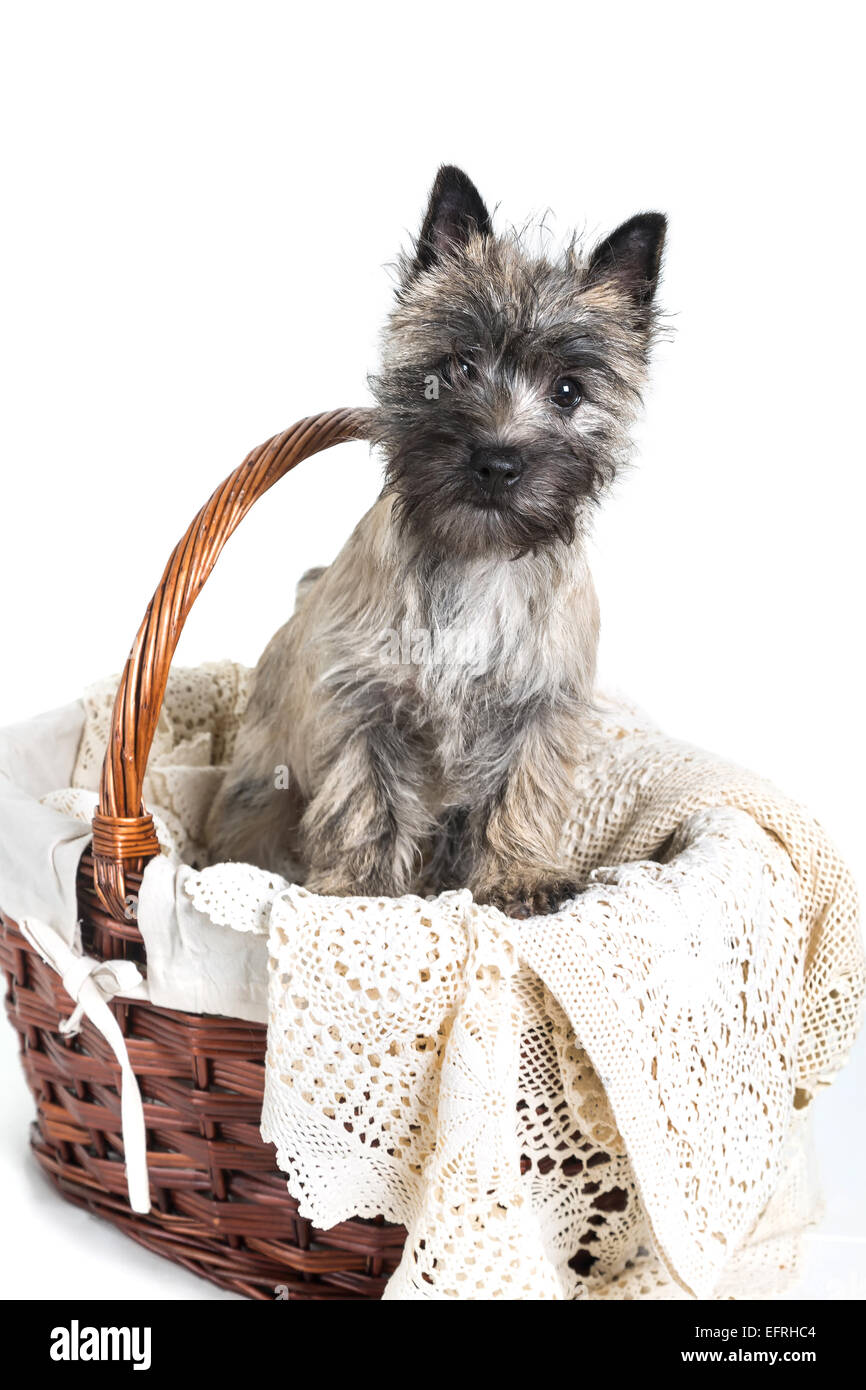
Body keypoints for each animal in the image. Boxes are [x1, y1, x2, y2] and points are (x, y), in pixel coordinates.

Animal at [207, 165, 667, 922]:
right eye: (457, 366)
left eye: (569, 391)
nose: (498, 462)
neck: (478, 561)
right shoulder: (364, 709)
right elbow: (366, 802)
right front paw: (362, 893)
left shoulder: (537, 713)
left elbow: (521, 793)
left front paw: (520, 875)